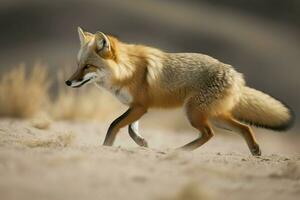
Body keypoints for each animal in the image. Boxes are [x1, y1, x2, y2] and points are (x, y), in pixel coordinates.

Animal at [64, 27, 294, 155]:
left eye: (88, 67)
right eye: (78, 65)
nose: (67, 82)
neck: (127, 70)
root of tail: (237, 76)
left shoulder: (140, 106)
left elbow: (114, 125)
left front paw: (106, 147)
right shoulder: (138, 107)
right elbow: (130, 128)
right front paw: (142, 142)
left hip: (194, 113)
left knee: (209, 134)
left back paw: (181, 151)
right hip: (215, 116)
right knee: (245, 128)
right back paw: (255, 150)